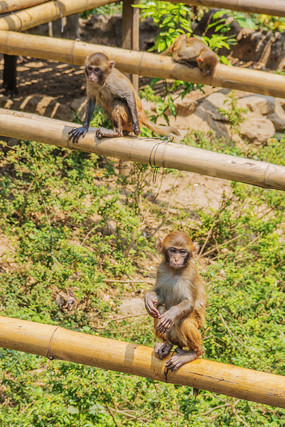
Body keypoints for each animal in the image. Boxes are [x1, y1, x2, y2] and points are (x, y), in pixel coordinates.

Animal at [144, 231, 206, 372]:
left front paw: (171, 314)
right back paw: (167, 344)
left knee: (185, 321)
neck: (175, 271)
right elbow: (159, 295)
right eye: (173, 250)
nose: (176, 259)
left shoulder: (191, 274)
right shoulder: (161, 269)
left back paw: (195, 352)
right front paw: (148, 298)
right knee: (160, 309)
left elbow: (189, 303)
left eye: (182, 252)